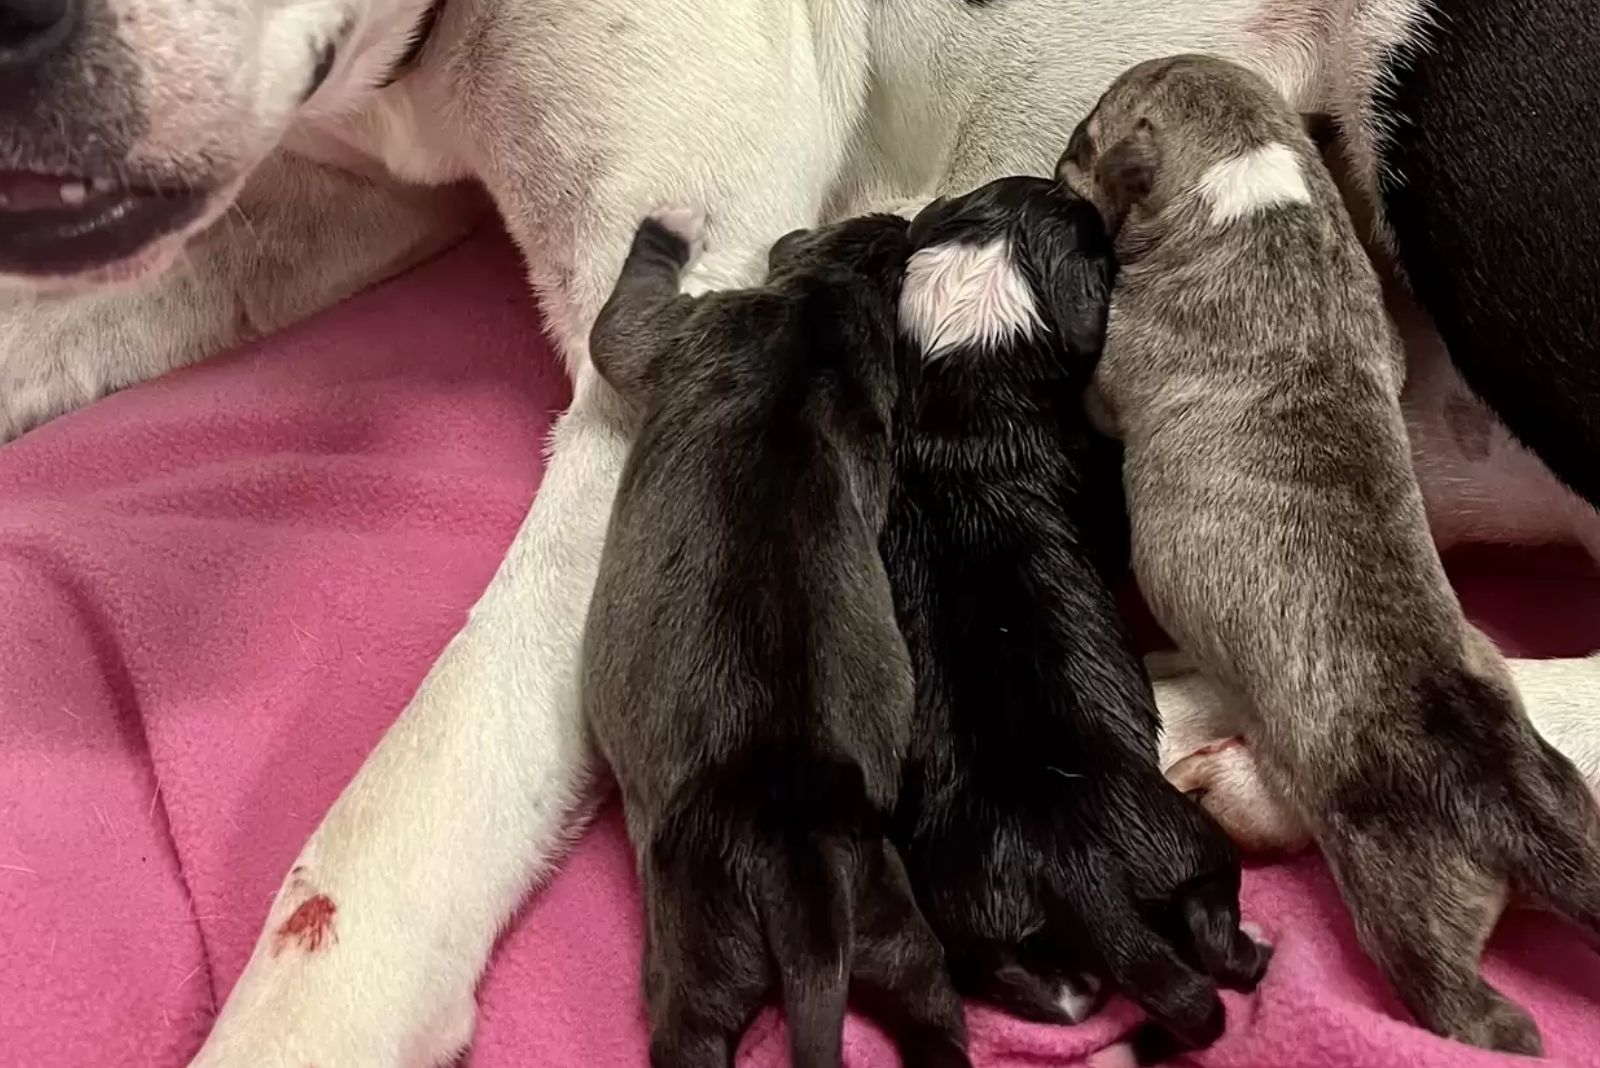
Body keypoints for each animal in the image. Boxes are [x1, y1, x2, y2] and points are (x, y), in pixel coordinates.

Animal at [582, 207, 966, 1068]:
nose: (900, 216)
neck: (821, 313)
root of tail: (804, 867)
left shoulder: (681, 328)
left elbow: (615, 331)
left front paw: (666, 226)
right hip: (886, 907)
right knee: (930, 996)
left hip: (699, 938)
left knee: (689, 1028)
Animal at [883, 179, 1267, 1061]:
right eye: (1093, 230)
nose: (1070, 182)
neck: (966, 371)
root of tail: (1076, 867)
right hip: (1185, 841)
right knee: (1212, 928)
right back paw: (1254, 948)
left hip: (964, 891)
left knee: (992, 964)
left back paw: (1067, 991)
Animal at [1068, 54, 1600, 1055]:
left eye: (1085, 138)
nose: (1055, 162)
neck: (1250, 186)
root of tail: (1504, 794)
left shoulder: (1122, 356)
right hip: (1570, 794)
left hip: (1400, 899)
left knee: (1464, 1005)